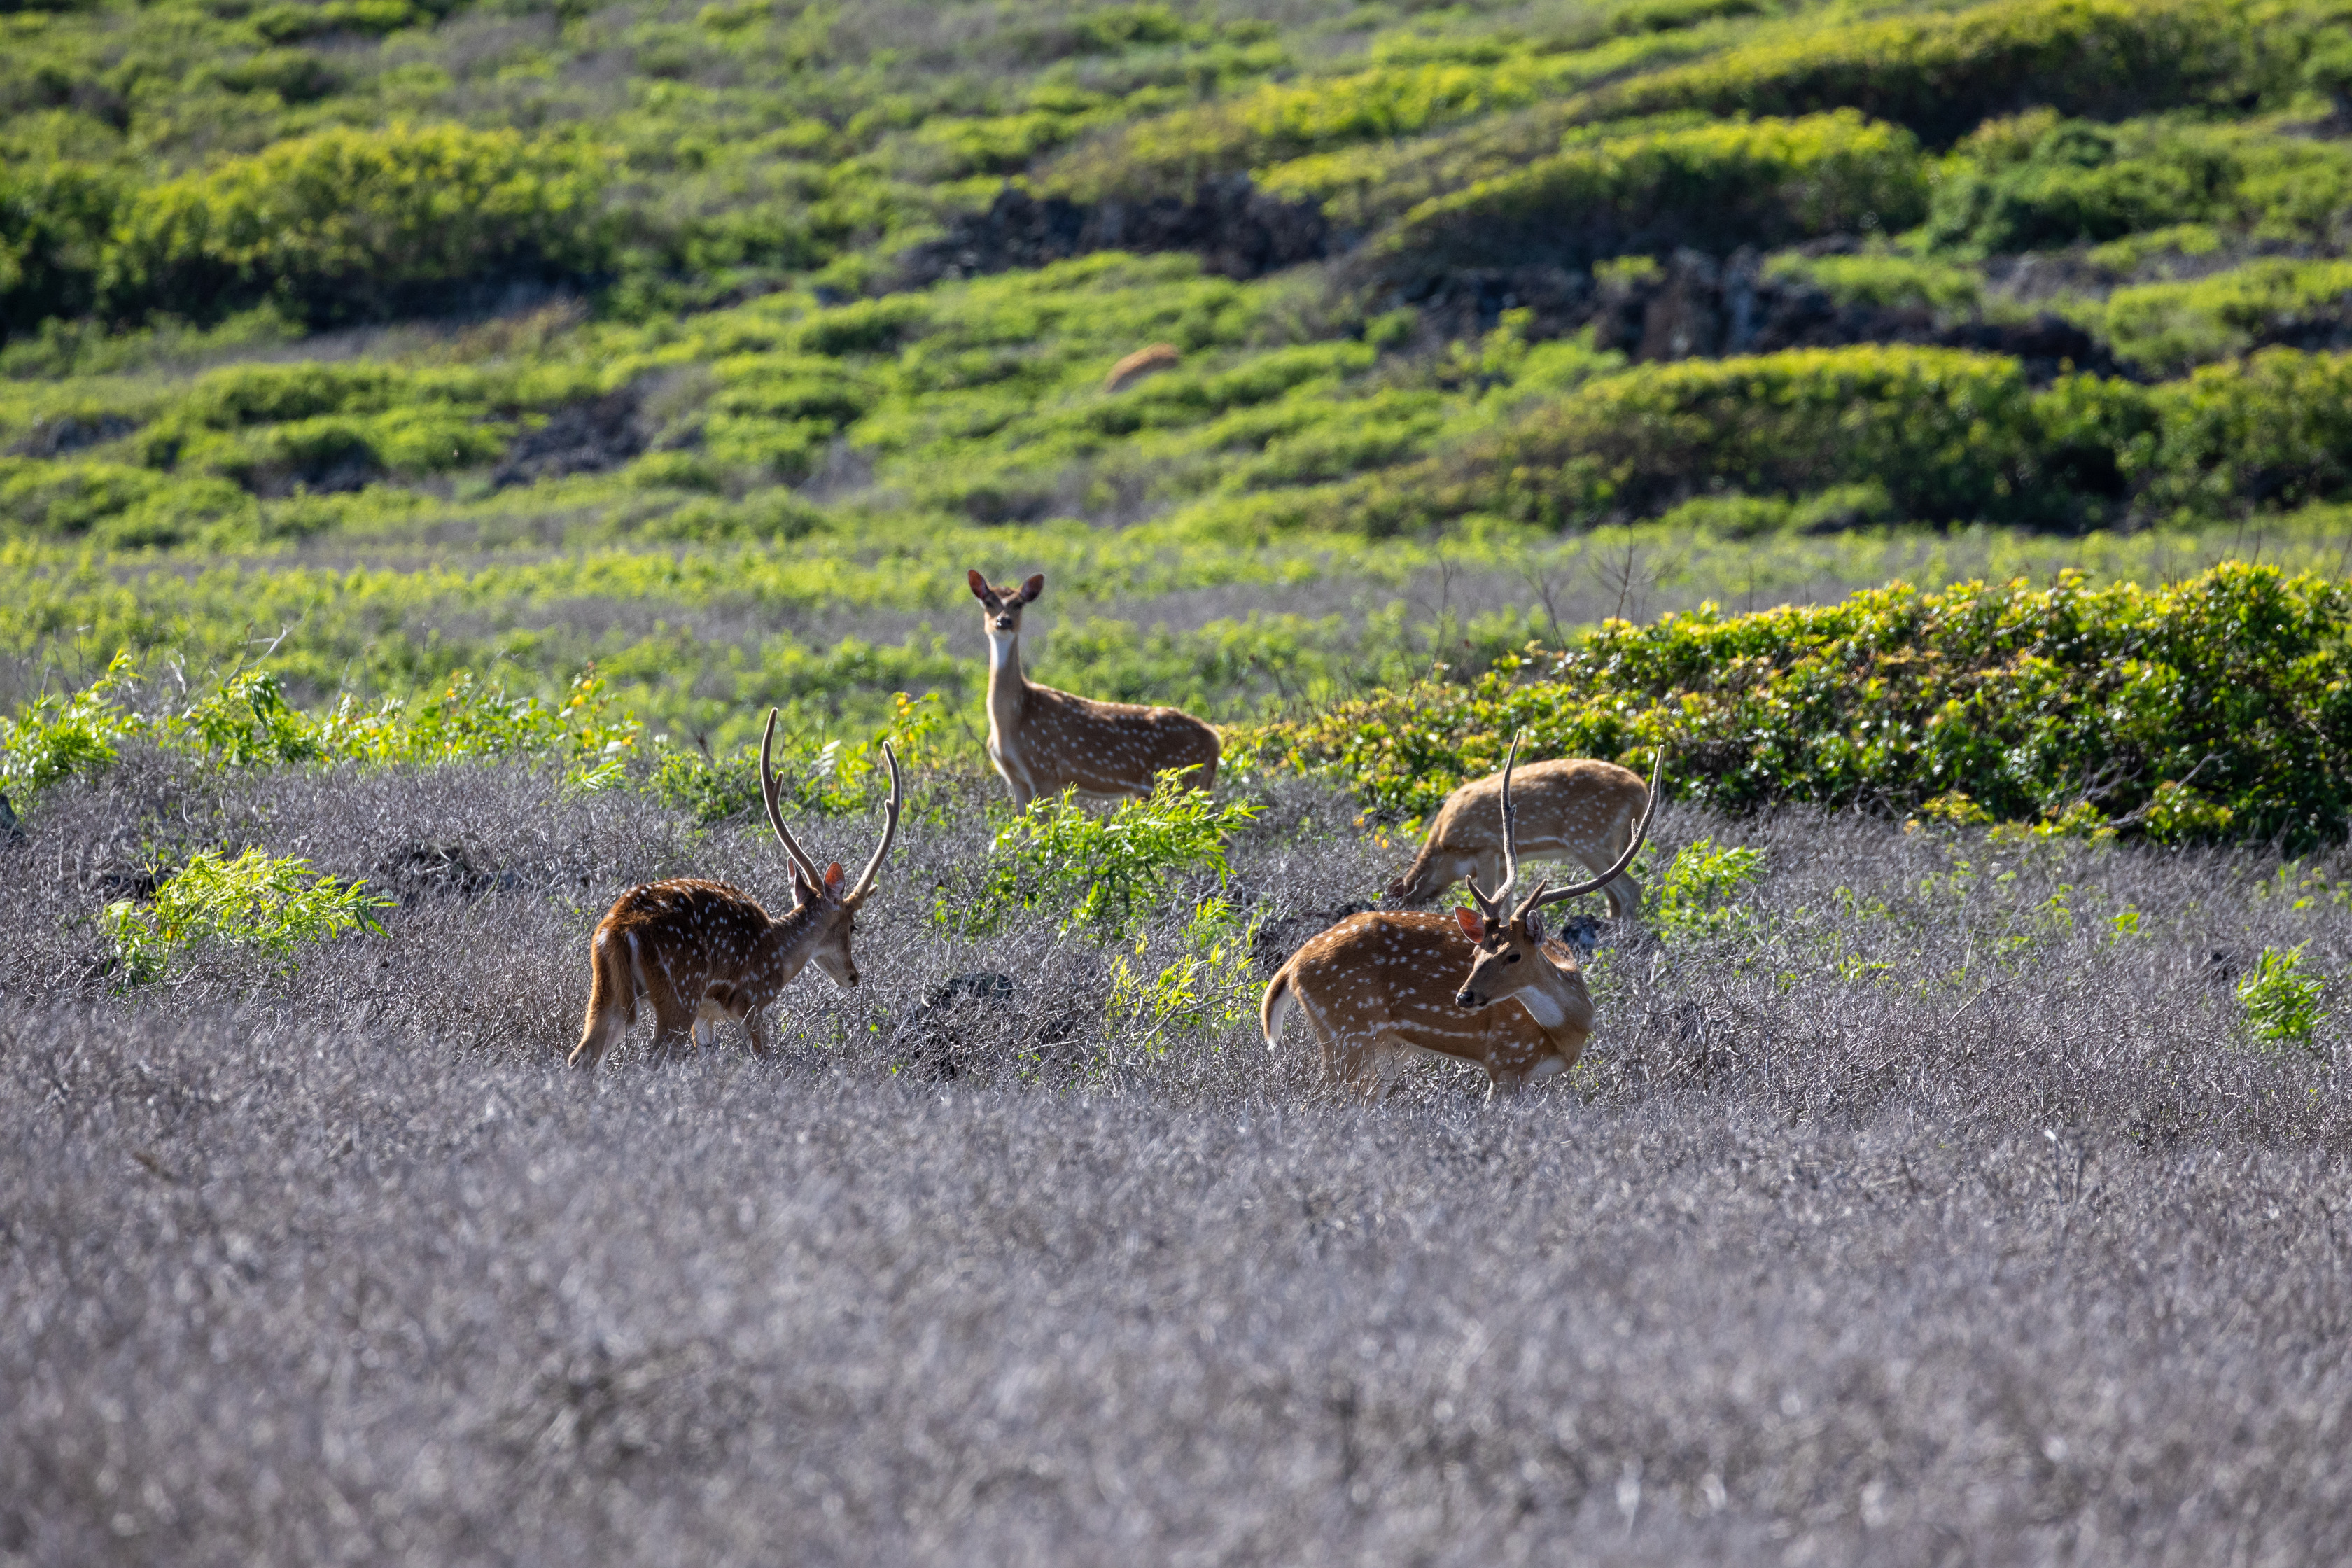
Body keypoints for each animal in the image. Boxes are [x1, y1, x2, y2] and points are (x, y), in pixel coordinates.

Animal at [571, 710, 901, 1070]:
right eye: (853, 926)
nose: (854, 976)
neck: (780, 955)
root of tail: (617, 929)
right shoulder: (750, 1000)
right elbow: (763, 1058)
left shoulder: (707, 1013)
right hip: (680, 990)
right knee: (653, 1059)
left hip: (607, 990)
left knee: (581, 1056)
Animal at [968, 569, 1219, 809]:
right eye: (988, 602)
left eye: (1018, 603)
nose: (1004, 621)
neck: (1011, 719)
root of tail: (1215, 739)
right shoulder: (1015, 779)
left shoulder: (1045, 770)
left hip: (1180, 781)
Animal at [1387, 753, 1651, 922]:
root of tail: (1642, 792)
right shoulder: (1504, 861)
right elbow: (1506, 907)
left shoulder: (1485, 848)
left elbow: (1486, 900)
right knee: (1614, 899)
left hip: (1588, 838)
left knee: (1630, 889)